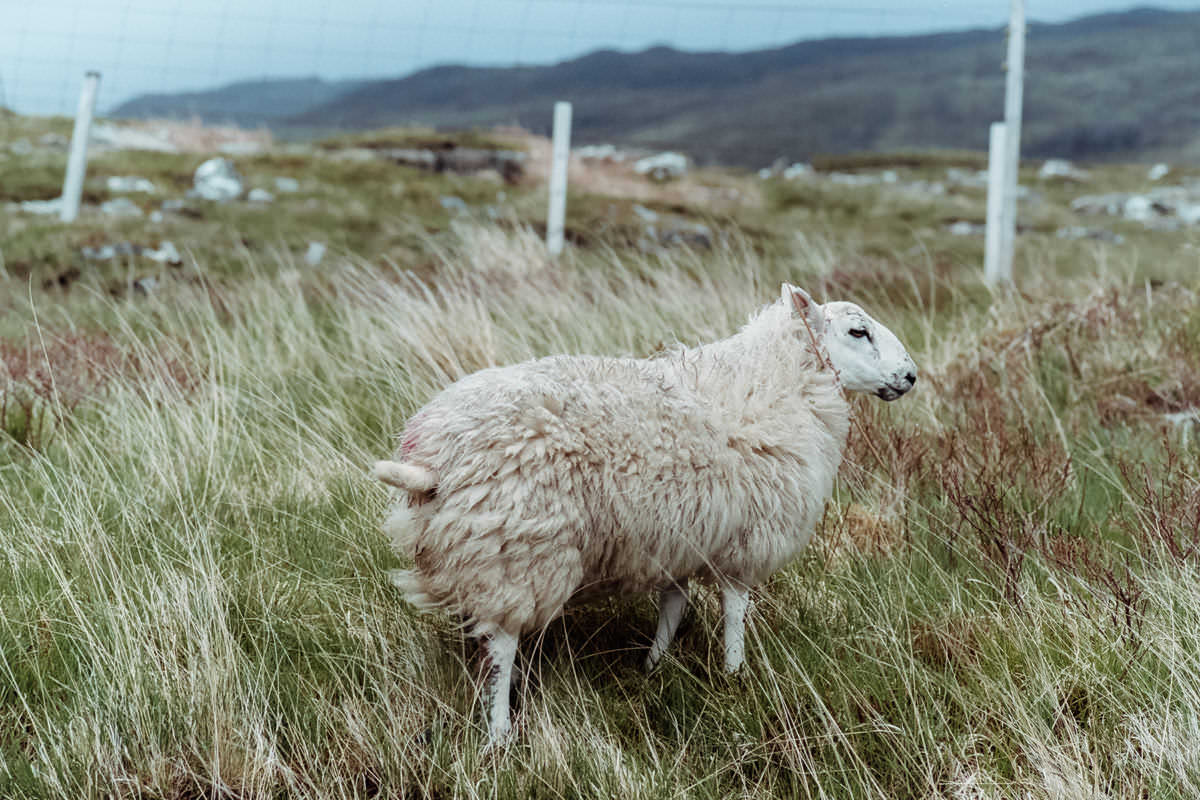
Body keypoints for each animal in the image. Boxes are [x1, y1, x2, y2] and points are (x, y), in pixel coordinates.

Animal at [374, 283, 916, 743]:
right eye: (858, 332)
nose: (910, 376)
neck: (779, 383)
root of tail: (430, 455)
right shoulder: (746, 540)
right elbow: (735, 609)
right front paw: (734, 674)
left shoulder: (681, 536)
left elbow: (672, 607)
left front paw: (654, 667)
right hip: (518, 551)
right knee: (503, 646)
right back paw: (498, 731)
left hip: (474, 551)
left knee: (484, 639)